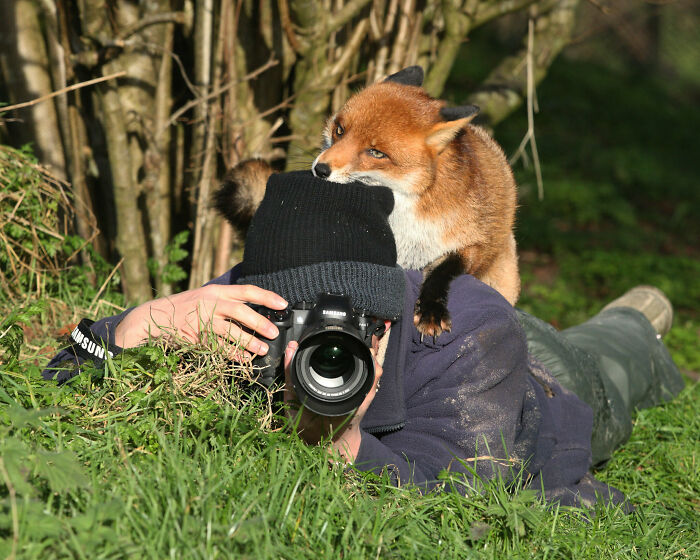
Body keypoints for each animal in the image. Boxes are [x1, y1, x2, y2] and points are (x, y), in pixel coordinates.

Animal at [215, 66, 519, 337]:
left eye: (376, 152)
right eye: (339, 130)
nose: (320, 170)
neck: (405, 219)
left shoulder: (475, 243)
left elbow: (442, 273)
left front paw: (431, 311)